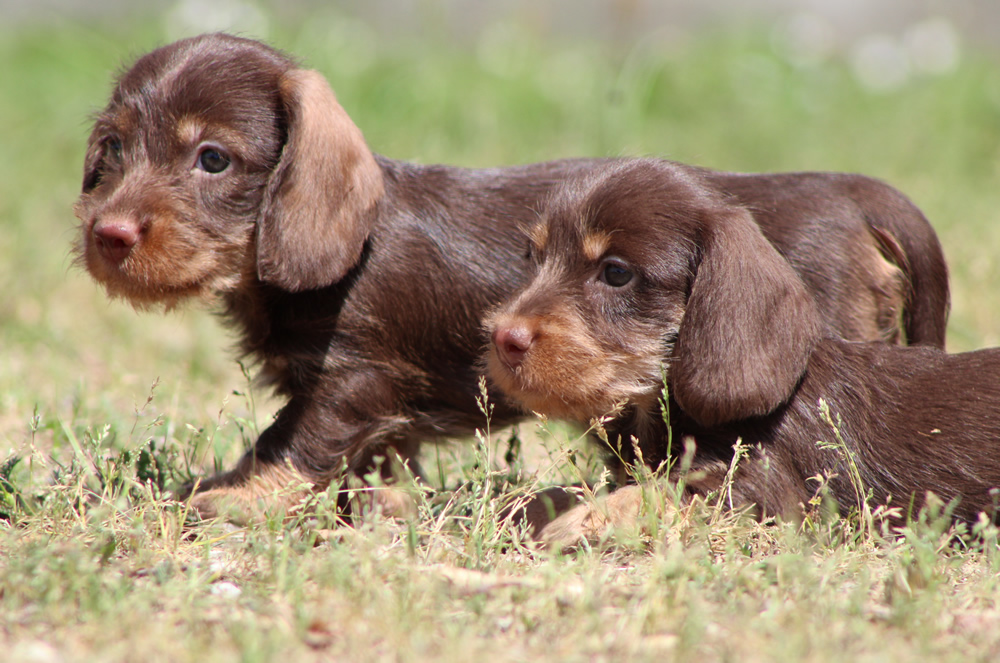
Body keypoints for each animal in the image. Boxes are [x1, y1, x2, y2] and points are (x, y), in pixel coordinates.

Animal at [74, 32, 948, 524]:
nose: (107, 235)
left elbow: (290, 446)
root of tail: (856, 196)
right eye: (111, 148)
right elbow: (378, 466)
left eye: (212, 158)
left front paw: (229, 496)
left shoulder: (350, 379)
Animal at [486, 158, 1000, 548]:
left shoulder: (765, 494)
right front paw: (520, 506)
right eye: (535, 257)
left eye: (615, 273)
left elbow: (658, 494)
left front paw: (583, 520)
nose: (503, 338)